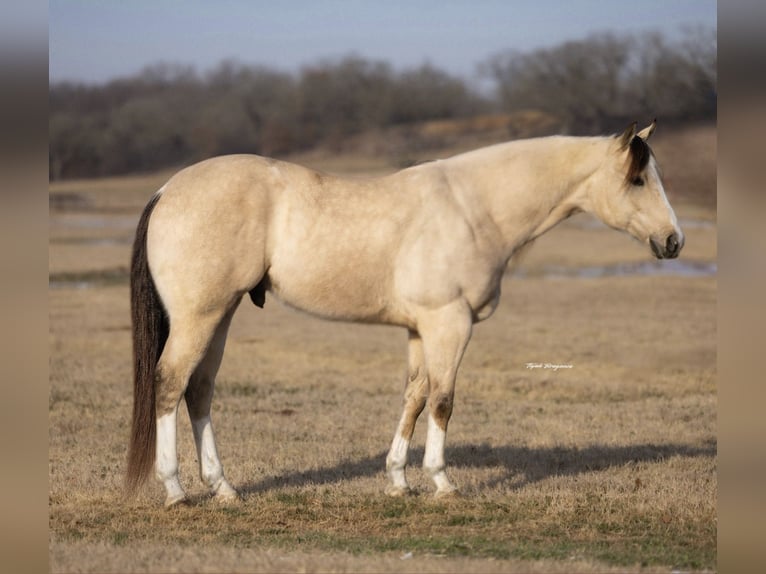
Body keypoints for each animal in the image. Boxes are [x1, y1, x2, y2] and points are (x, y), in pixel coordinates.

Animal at [125, 120, 683, 507]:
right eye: (637, 179)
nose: (674, 241)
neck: (473, 208)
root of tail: (166, 190)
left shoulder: (420, 329)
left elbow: (414, 397)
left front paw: (398, 479)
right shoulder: (449, 324)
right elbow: (443, 401)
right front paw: (442, 481)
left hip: (220, 316)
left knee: (199, 390)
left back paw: (223, 488)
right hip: (200, 317)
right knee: (170, 382)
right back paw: (175, 491)